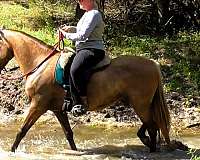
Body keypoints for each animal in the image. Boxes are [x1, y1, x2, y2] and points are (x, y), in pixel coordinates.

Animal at [0, 28, 172, 152]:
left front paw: (11, 152)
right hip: (140, 104)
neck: (40, 63)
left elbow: (21, 131)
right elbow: (69, 134)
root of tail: (153, 63)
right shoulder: (58, 109)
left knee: (152, 126)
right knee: (151, 124)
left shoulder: (38, 105)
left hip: (140, 104)